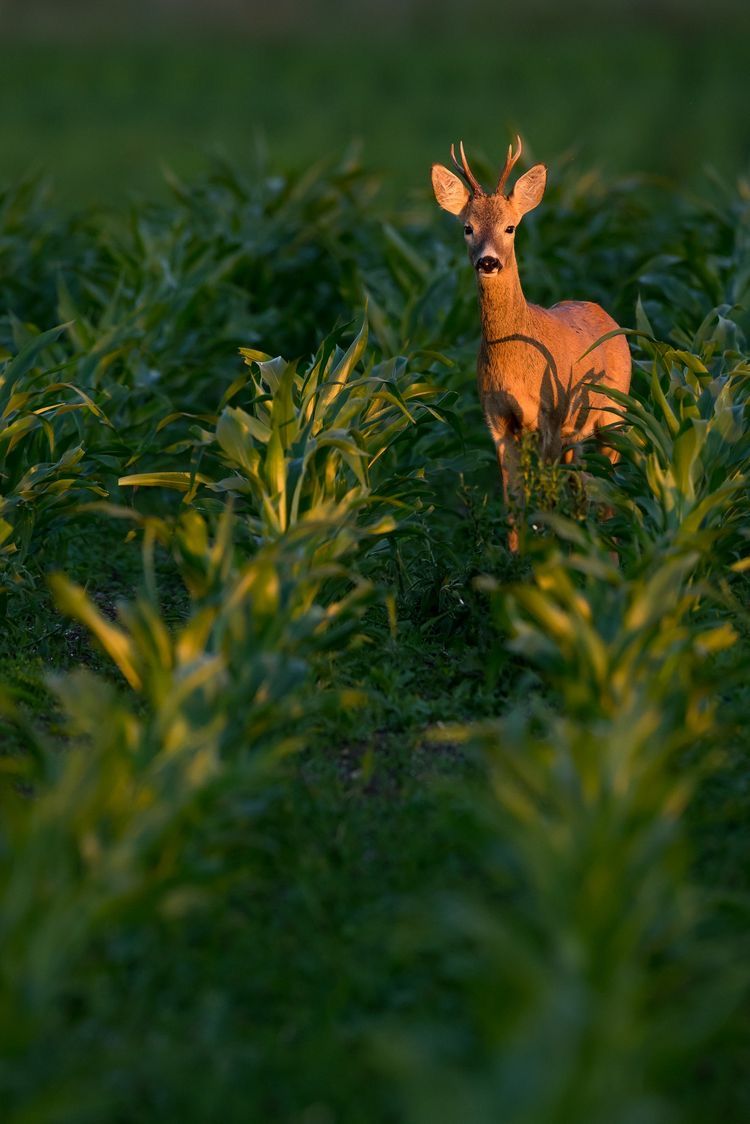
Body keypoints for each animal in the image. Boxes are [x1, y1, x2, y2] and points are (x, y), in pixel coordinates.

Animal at [431, 137, 631, 549]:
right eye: (467, 228)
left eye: (510, 227)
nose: (488, 262)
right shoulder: (499, 420)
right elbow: (514, 502)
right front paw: (516, 556)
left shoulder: (551, 415)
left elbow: (547, 500)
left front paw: (547, 553)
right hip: (577, 434)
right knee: (582, 485)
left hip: (613, 415)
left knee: (607, 488)